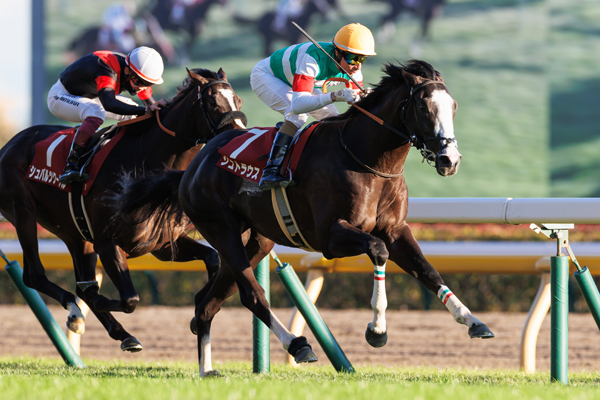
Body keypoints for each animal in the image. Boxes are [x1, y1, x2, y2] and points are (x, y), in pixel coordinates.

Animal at [0, 67, 246, 352]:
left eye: (238, 100)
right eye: (212, 102)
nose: (239, 136)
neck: (144, 163)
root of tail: (8, 146)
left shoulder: (161, 244)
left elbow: (213, 258)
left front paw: (199, 314)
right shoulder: (108, 243)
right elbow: (128, 299)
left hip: (74, 234)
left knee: (76, 280)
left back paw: (113, 330)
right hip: (23, 213)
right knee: (35, 276)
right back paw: (77, 312)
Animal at [115, 60, 494, 376]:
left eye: (453, 106)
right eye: (423, 106)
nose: (449, 159)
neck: (369, 159)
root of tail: (195, 164)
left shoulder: (397, 230)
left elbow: (428, 271)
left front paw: (472, 320)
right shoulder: (330, 237)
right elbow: (378, 251)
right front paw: (376, 331)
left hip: (256, 240)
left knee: (207, 303)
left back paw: (207, 369)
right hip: (220, 228)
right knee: (251, 294)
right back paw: (298, 345)